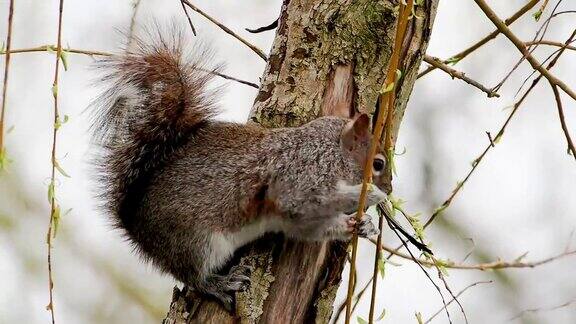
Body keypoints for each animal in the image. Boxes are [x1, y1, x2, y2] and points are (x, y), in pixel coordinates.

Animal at [92, 32, 392, 308]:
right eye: (378, 164)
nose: (389, 188)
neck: (331, 150)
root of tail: (133, 220)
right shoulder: (301, 174)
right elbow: (305, 206)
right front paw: (369, 195)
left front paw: (363, 225)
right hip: (194, 242)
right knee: (194, 277)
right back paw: (221, 283)